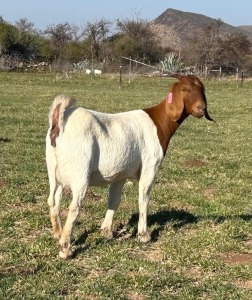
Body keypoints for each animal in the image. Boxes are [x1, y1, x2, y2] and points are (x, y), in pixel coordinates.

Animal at [46, 74, 214, 258]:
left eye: (202, 89)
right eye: (184, 89)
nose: (201, 108)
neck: (159, 122)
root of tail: (60, 120)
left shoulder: (120, 174)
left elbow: (114, 199)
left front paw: (106, 231)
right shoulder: (150, 166)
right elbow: (144, 198)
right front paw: (144, 235)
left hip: (54, 170)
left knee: (53, 200)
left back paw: (57, 234)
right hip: (80, 172)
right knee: (74, 207)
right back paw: (65, 248)